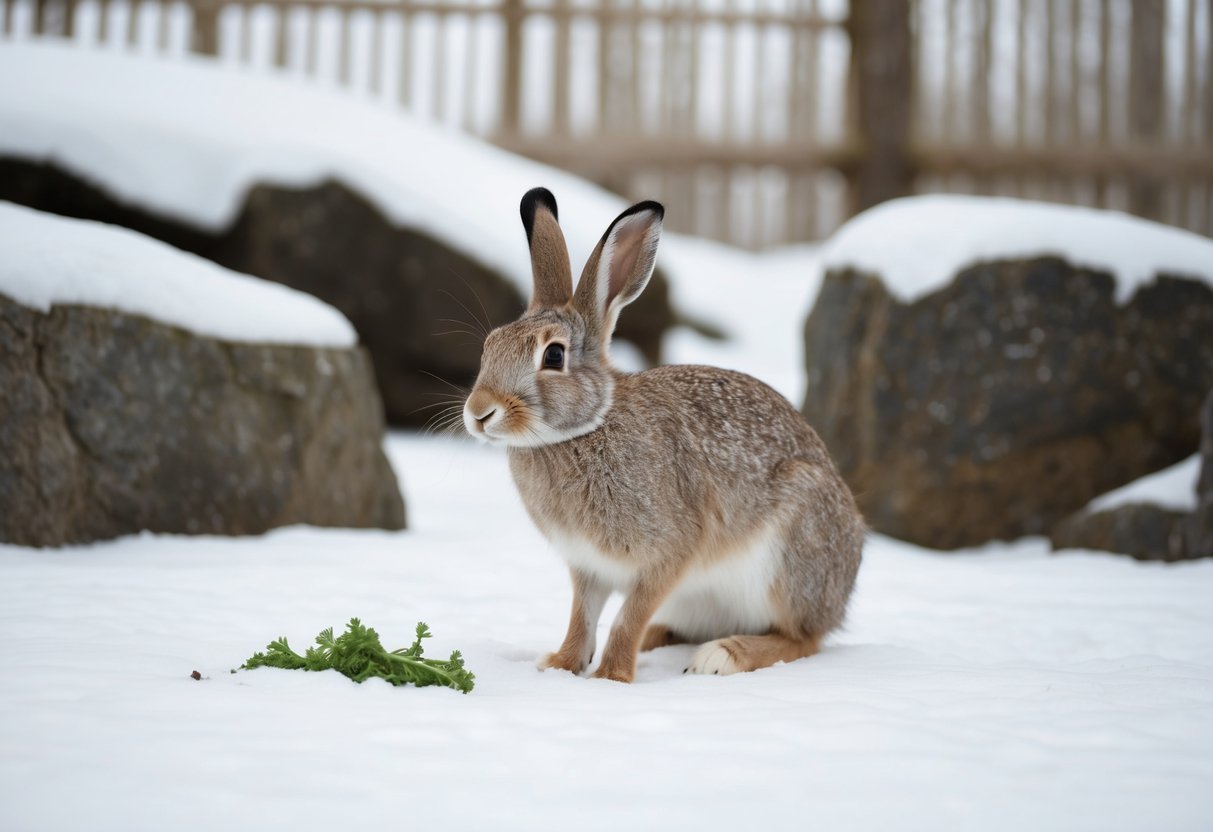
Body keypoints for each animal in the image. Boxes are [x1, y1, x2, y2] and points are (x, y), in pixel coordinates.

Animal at [463, 187, 864, 683]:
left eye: (553, 356)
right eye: (490, 344)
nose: (479, 413)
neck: (584, 429)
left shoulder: (667, 556)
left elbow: (626, 618)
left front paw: (611, 677)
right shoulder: (587, 567)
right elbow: (582, 617)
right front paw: (560, 666)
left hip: (791, 555)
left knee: (802, 638)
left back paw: (723, 656)